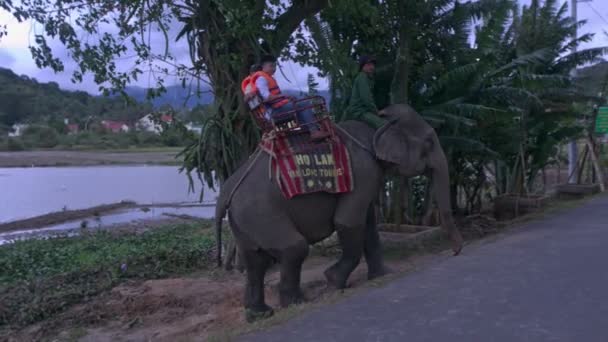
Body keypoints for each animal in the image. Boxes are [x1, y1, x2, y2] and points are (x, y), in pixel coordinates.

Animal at [214, 103, 460, 322]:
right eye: (429, 142)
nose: (456, 253)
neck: (376, 123)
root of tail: (226, 191)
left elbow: (369, 227)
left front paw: (384, 274)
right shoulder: (363, 172)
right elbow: (347, 223)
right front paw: (333, 282)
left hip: (244, 221)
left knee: (255, 261)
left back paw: (260, 314)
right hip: (261, 213)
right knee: (293, 249)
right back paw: (297, 303)